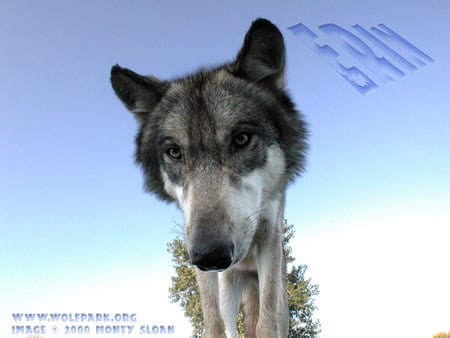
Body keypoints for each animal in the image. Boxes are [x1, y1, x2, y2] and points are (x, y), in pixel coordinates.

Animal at [111, 19, 310, 338]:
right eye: (175, 152)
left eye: (241, 138)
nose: (210, 255)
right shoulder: (197, 256)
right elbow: (214, 324)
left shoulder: (269, 234)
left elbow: (266, 324)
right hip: (228, 287)